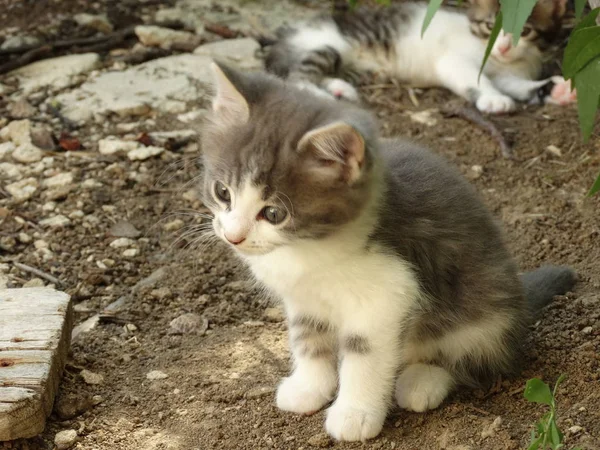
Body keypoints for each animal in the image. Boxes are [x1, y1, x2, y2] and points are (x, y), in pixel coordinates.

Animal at [200, 61, 576, 442]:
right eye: (222, 192)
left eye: (274, 213)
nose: (232, 236)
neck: (306, 248)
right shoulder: (303, 298)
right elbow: (308, 339)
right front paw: (309, 388)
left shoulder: (387, 293)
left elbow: (363, 355)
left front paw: (354, 414)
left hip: (485, 313)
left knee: (476, 359)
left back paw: (423, 380)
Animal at [262, 0, 576, 114]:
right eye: (490, 26)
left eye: (526, 30)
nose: (502, 47)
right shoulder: (454, 61)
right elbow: (476, 79)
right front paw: (493, 98)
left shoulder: (510, 73)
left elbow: (518, 85)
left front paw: (555, 90)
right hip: (328, 45)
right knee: (297, 75)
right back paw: (322, 96)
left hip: (362, 68)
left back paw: (339, 89)